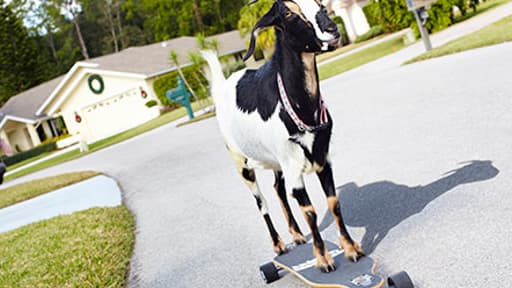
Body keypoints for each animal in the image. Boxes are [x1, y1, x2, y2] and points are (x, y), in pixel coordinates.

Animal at [201, 0, 364, 272]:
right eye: (288, 12)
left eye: (320, 4)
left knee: (277, 188)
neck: (301, 109)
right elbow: (309, 210)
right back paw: (278, 244)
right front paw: (323, 260)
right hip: (241, 162)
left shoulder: (322, 159)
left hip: (276, 161)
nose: (332, 29)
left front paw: (351, 249)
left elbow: (333, 202)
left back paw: (296, 235)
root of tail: (223, 84)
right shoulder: (293, 166)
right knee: (261, 201)